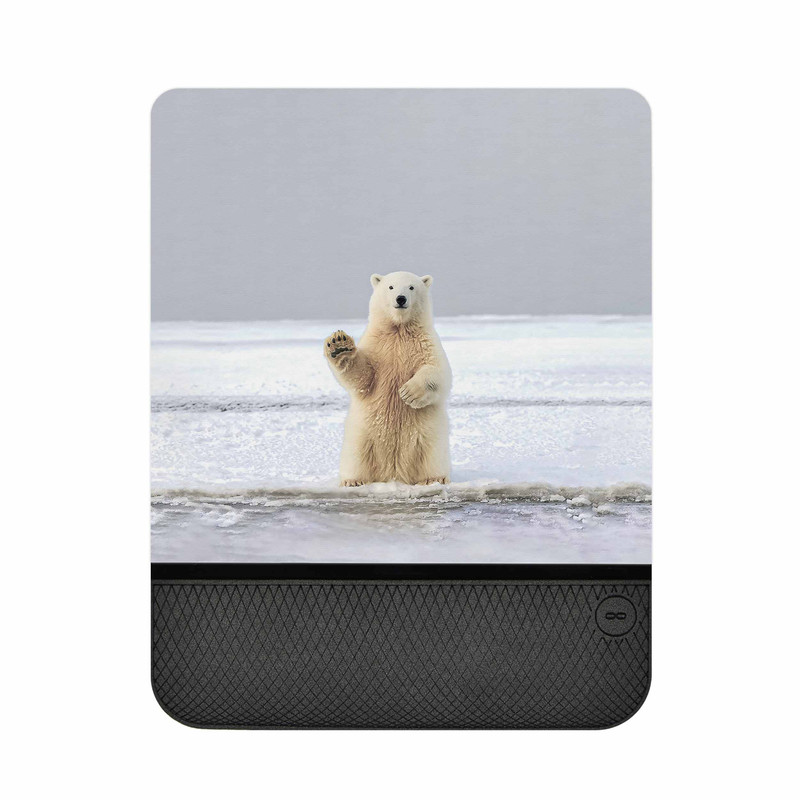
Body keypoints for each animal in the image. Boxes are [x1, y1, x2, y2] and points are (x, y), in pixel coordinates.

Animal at [324, 271, 452, 486]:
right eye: (390, 287)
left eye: (411, 287)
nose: (400, 299)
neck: (399, 329)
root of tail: (394, 474)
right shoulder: (377, 345)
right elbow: (363, 377)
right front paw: (339, 345)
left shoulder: (426, 343)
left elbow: (438, 372)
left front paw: (408, 393)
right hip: (361, 435)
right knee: (356, 456)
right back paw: (353, 480)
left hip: (429, 436)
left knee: (432, 454)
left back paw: (434, 479)